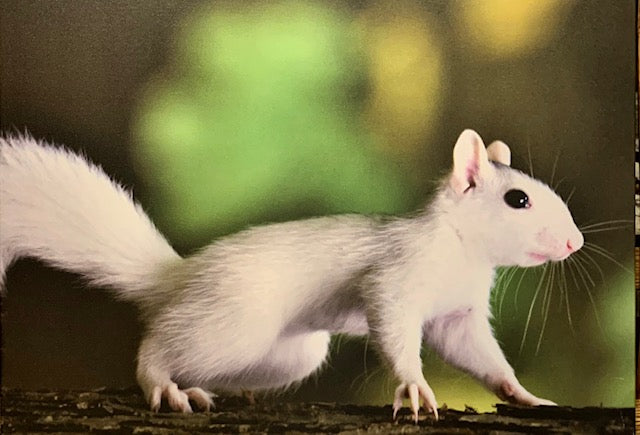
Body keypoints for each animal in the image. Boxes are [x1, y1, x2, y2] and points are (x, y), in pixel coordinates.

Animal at [0, 129, 583, 421]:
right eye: (518, 199)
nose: (575, 242)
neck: (463, 252)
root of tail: (178, 277)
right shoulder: (396, 275)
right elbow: (393, 328)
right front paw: (415, 386)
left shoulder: (458, 316)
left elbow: (479, 357)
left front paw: (523, 395)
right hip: (234, 325)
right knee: (155, 347)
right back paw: (164, 385)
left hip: (288, 355)